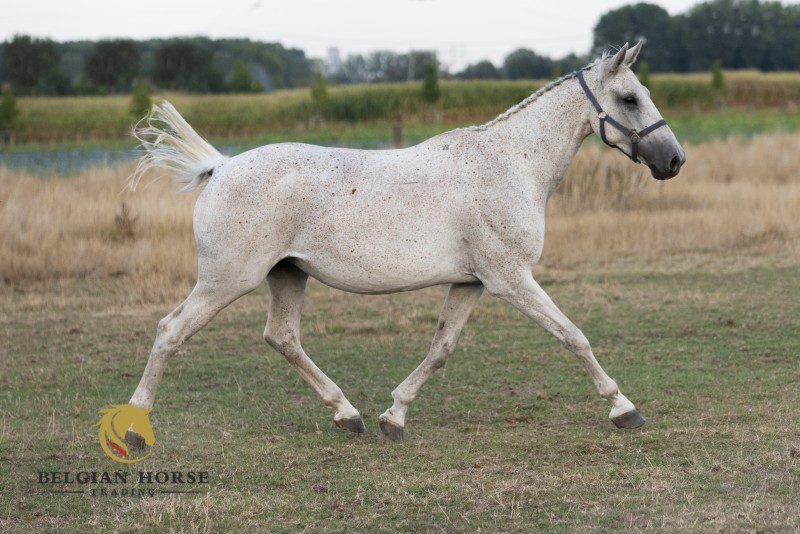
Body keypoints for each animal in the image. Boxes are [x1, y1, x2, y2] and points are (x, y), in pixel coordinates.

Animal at [125, 42, 685, 445]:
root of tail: (220, 167)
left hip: (287, 274)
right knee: (171, 330)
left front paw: (393, 417)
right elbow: (573, 335)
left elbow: (441, 348)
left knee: (281, 337)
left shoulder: (471, 283)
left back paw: (348, 415)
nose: (674, 160)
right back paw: (133, 428)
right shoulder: (510, 279)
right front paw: (624, 408)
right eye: (630, 98)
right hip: (227, 280)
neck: (511, 164)